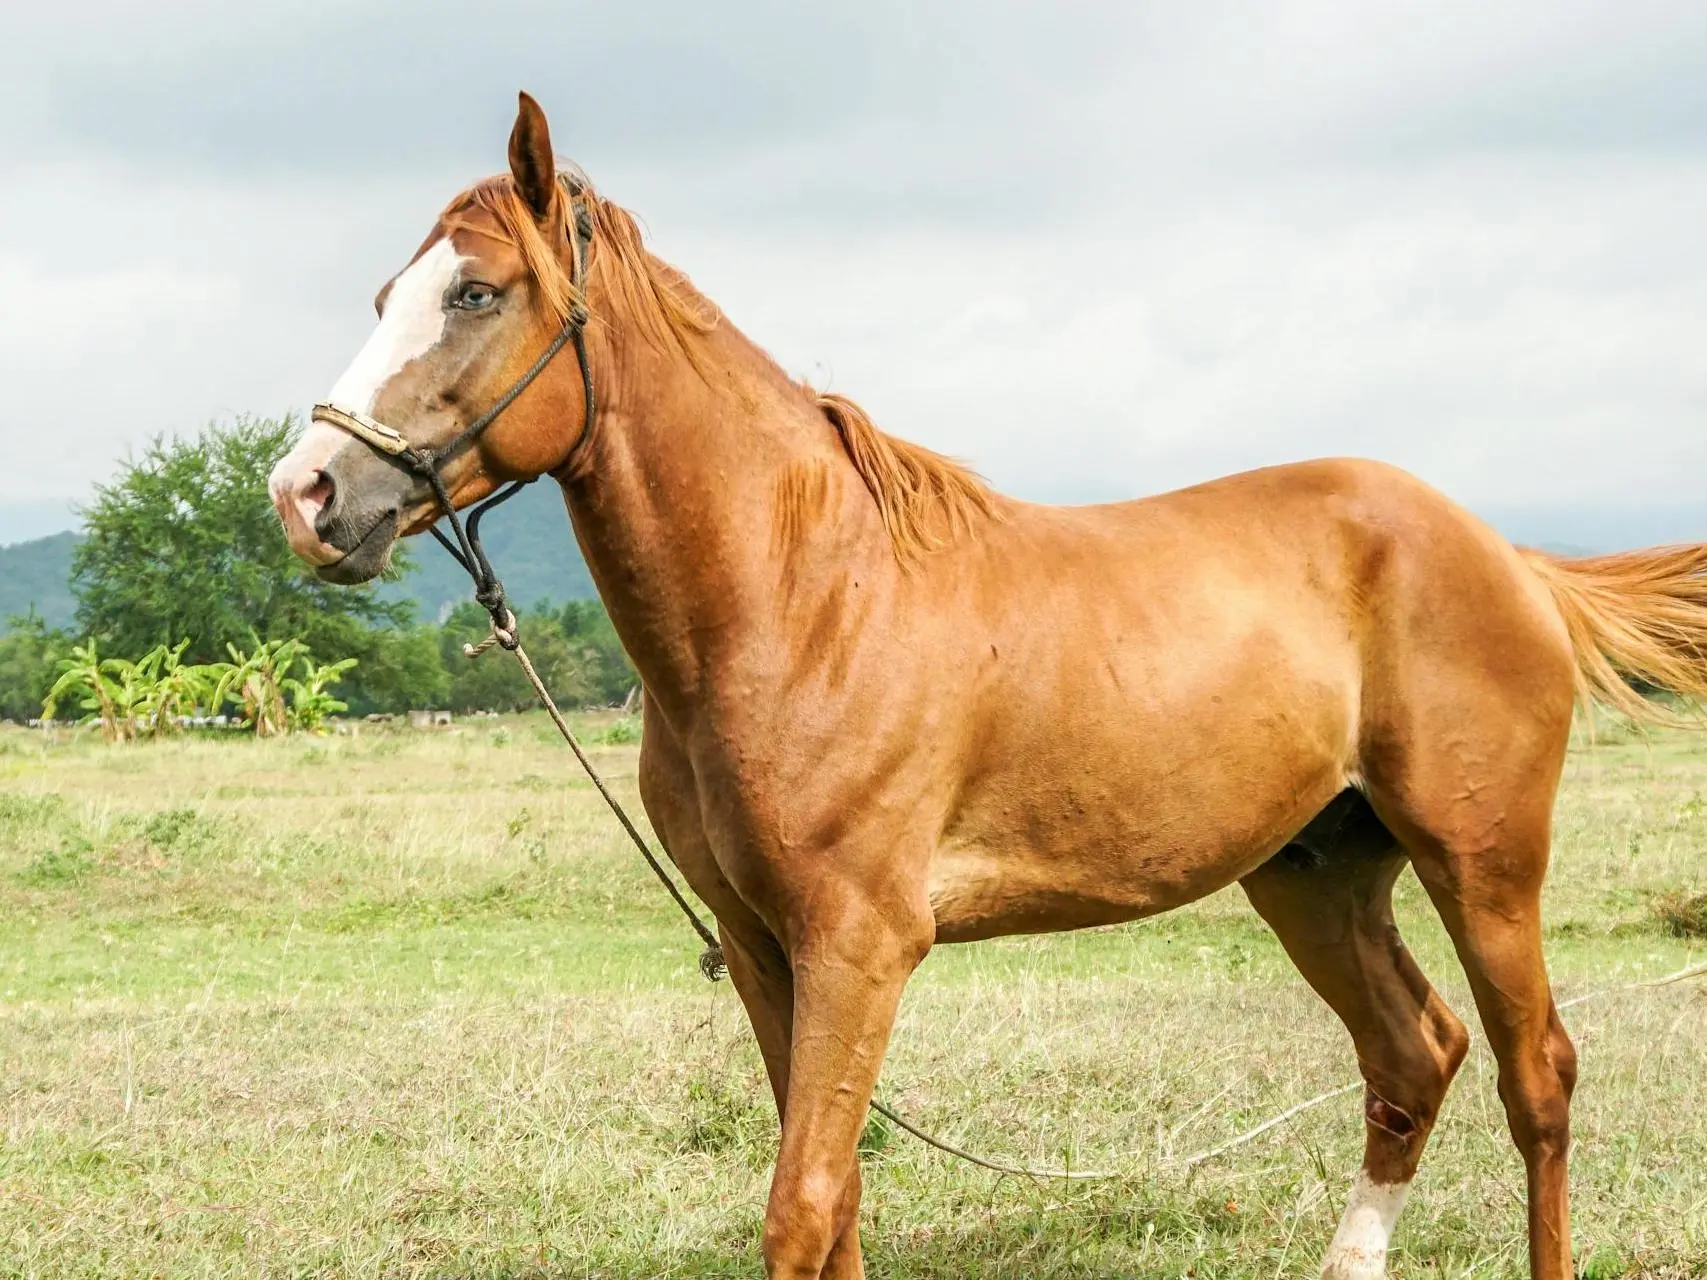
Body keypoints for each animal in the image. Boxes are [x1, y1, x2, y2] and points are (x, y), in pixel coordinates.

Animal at [266, 92, 1707, 1280]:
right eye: (388, 292)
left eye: (476, 294)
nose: (308, 494)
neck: (800, 599)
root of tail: (1507, 556)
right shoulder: (763, 946)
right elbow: (835, 1205)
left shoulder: (861, 946)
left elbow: (802, 1207)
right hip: (1316, 871)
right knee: (1412, 1055)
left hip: (1481, 863)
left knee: (1534, 1075)